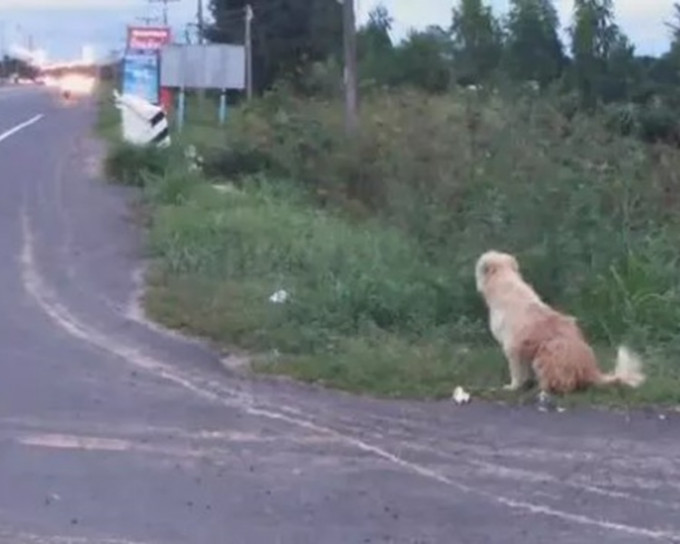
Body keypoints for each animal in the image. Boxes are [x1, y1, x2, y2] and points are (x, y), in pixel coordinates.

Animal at [472, 251, 644, 396]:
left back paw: (542, 390)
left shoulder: (513, 347)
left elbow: (516, 372)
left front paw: (512, 387)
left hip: (547, 352)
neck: (505, 282)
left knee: (563, 385)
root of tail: (591, 370)